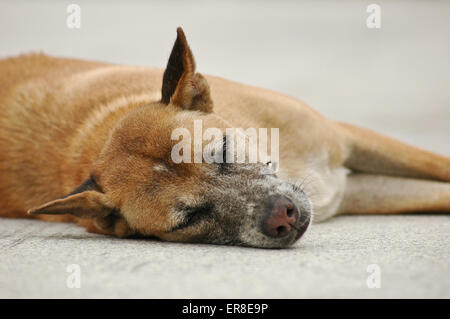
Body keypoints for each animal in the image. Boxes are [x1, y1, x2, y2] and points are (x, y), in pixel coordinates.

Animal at [0, 27, 448, 249]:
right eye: (190, 219)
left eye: (224, 151)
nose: (283, 216)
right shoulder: (355, 191)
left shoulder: (349, 141)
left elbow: (438, 167)